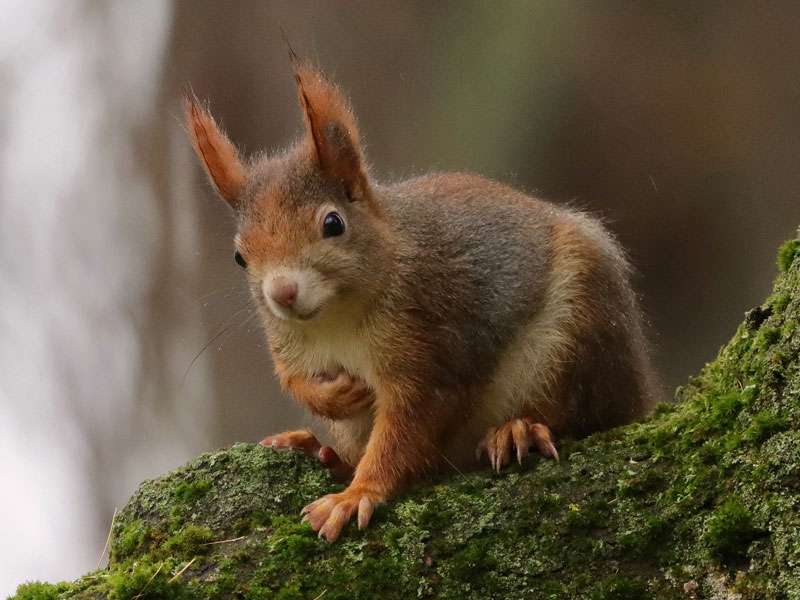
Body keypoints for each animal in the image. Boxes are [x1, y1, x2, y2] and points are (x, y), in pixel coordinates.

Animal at [186, 63, 656, 540]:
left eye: (333, 223)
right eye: (240, 256)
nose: (282, 292)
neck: (337, 320)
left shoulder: (428, 344)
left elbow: (407, 427)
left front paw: (357, 495)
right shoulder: (288, 341)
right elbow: (295, 380)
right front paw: (337, 396)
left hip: (578, 333)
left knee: (582, 415)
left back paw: (517, 430)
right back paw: (318, 450)